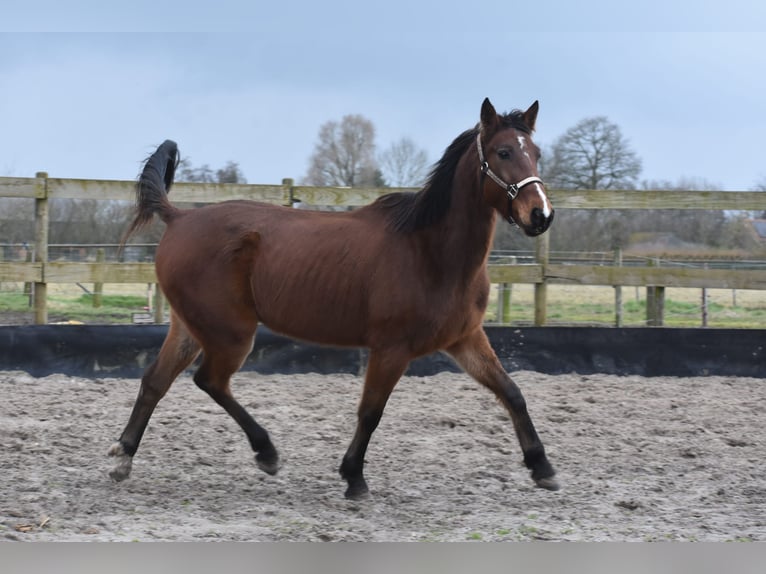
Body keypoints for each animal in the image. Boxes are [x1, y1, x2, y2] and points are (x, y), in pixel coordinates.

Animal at [109, 99, 560, 500]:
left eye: (536, 153)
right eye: (503, 152)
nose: (541, 215)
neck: (431, 253)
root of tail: (179, 217)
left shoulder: (465, 339)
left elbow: (511, 392)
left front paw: (543, 468)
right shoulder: (391, 349)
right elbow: (371, 412)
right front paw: (354, 478)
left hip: (191, 326)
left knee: (156, 380)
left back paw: (124, 456)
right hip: (230, 333)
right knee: (209, 381)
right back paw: (266, 453)